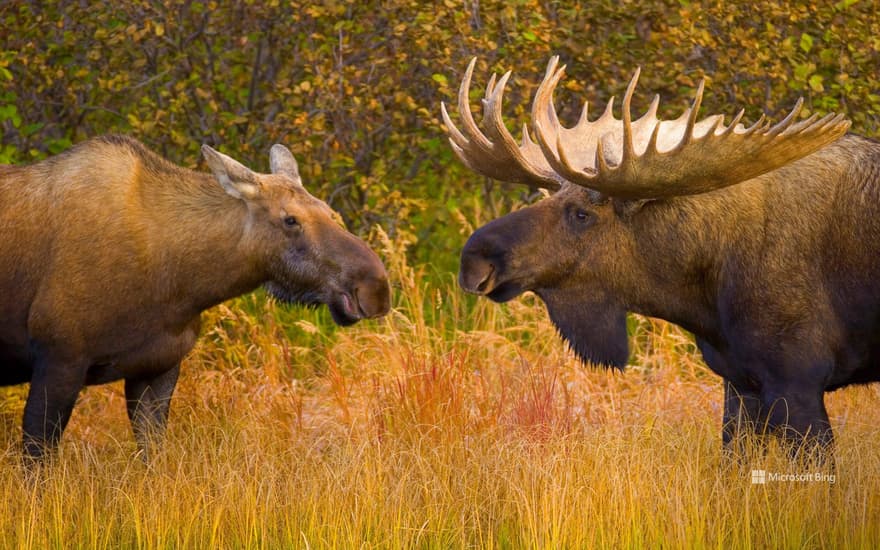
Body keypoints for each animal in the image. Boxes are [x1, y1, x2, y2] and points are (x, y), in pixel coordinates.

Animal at [0, 136, 392, 460]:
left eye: (328, 210)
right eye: (290, 220)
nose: (375, 287)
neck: (180, 283)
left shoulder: (157, 367)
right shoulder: (60, 358)